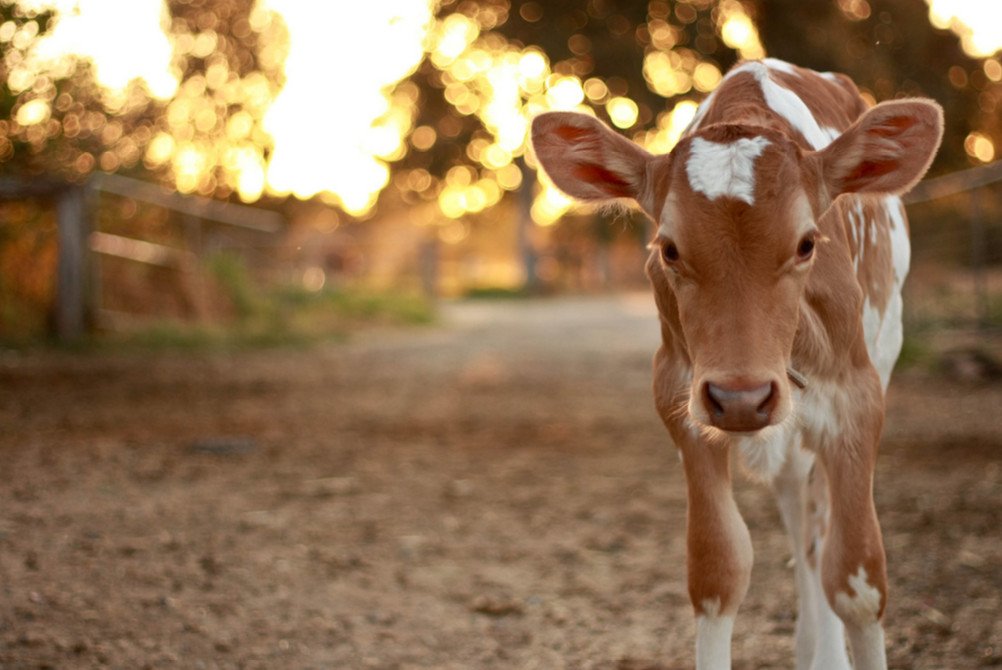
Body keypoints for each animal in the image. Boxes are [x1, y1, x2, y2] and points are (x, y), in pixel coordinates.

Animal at [533, 58, 937, 668]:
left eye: (807, 243)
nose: (741, 398)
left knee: (823, 529)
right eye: (668, 248)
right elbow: (717, 570)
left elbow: (858, 579)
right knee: (803, 521)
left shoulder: (856, 398)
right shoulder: (680, 399)